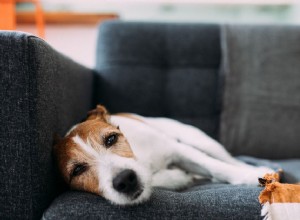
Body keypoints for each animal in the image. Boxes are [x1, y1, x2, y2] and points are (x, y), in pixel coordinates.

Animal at [53, 105, 274, 205]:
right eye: (77, 170)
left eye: (111, 139)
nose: (125, 180)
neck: (140, 156)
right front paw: (178, 177)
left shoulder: (178, 150)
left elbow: (216, 167)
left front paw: (248, 177)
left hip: (200, 140)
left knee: (227, 159)